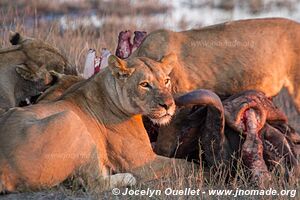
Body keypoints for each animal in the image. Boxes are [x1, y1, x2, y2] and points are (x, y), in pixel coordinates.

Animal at [0, 54, 192, 193]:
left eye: (166, 80)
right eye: (144, 84)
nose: (169, 105)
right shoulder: (141, 162)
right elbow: (185, 165)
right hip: (72, 119)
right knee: (92, 184)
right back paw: (126, 179)